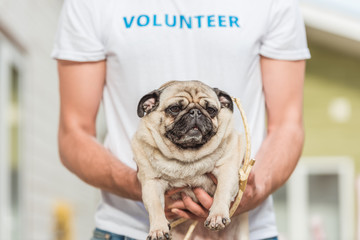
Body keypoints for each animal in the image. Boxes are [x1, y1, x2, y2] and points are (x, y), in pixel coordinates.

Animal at [131, 81, 246, 240]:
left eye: (211, 110)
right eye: (174, 108)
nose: (195, 112)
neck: (188, 155)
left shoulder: (227, 169)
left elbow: (222, 191)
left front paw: (217, 216)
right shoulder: (151, 182)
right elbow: (155, 206)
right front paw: (158, 229)